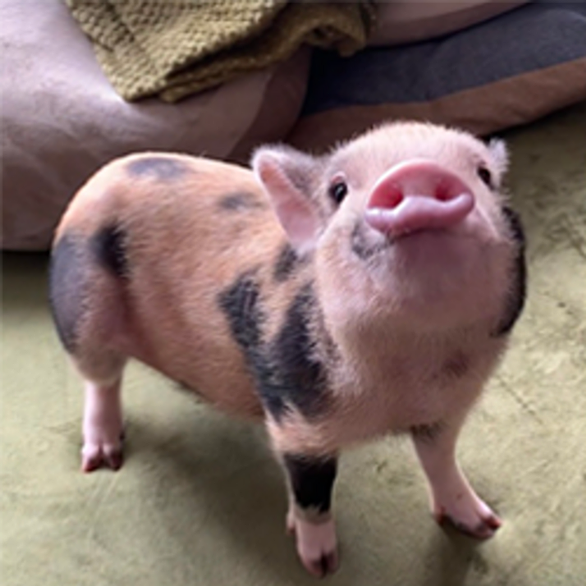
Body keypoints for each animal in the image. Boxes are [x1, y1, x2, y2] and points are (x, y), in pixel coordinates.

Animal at [48, 121, 526, 577]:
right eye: (338, 190)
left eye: (484, 175)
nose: (417, 172)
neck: (407, 370)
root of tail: (107, 172)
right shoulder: (294, 415)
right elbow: (313, 492)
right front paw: (321, 564)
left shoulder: (446, 408)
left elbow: (441, 461)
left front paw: (486, 526)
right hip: (81, 309)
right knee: (101, 379)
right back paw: (102, 459)